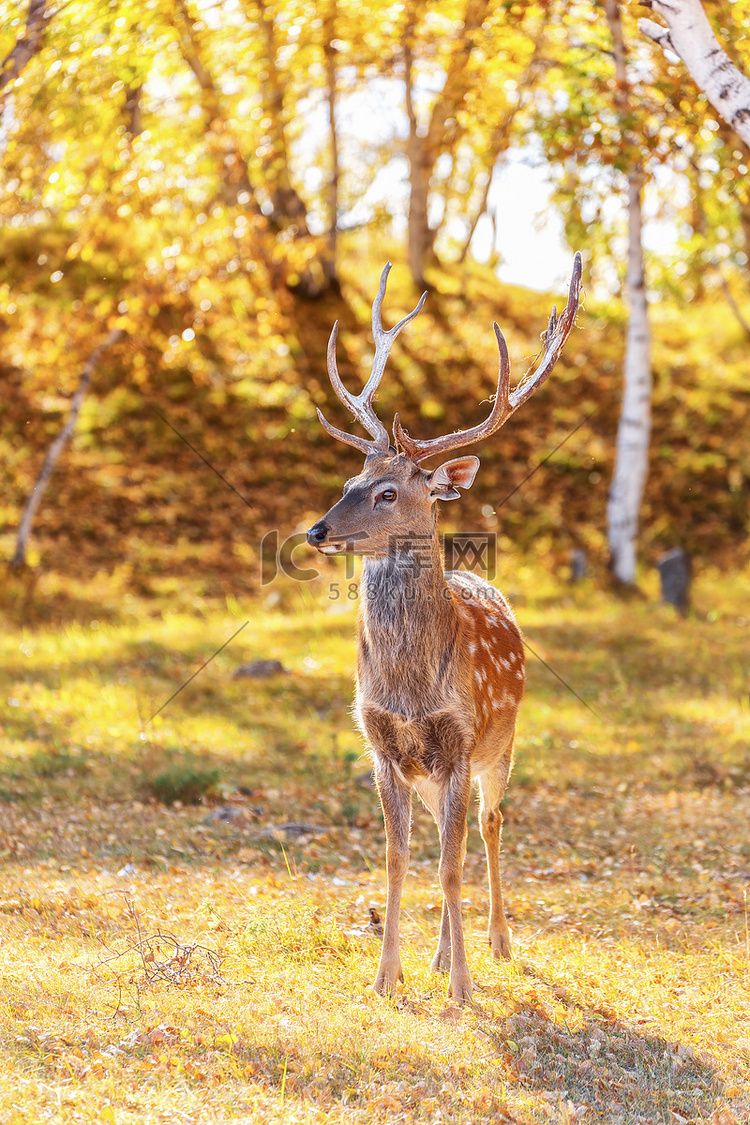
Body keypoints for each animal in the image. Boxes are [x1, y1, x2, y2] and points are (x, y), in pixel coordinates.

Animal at [308, 258, 584, 1008]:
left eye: (387, 493)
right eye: (349, 479)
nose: (316, 530)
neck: (409, 685)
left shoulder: (461, 739)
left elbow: (453, 868)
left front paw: (463, 986)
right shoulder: (381, 744)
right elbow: (400, 859)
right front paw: (388, 976)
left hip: (503, 740)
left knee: (487, 827)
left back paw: (496, 941)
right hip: (431, 770)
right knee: (443, 838)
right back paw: (436, 955)